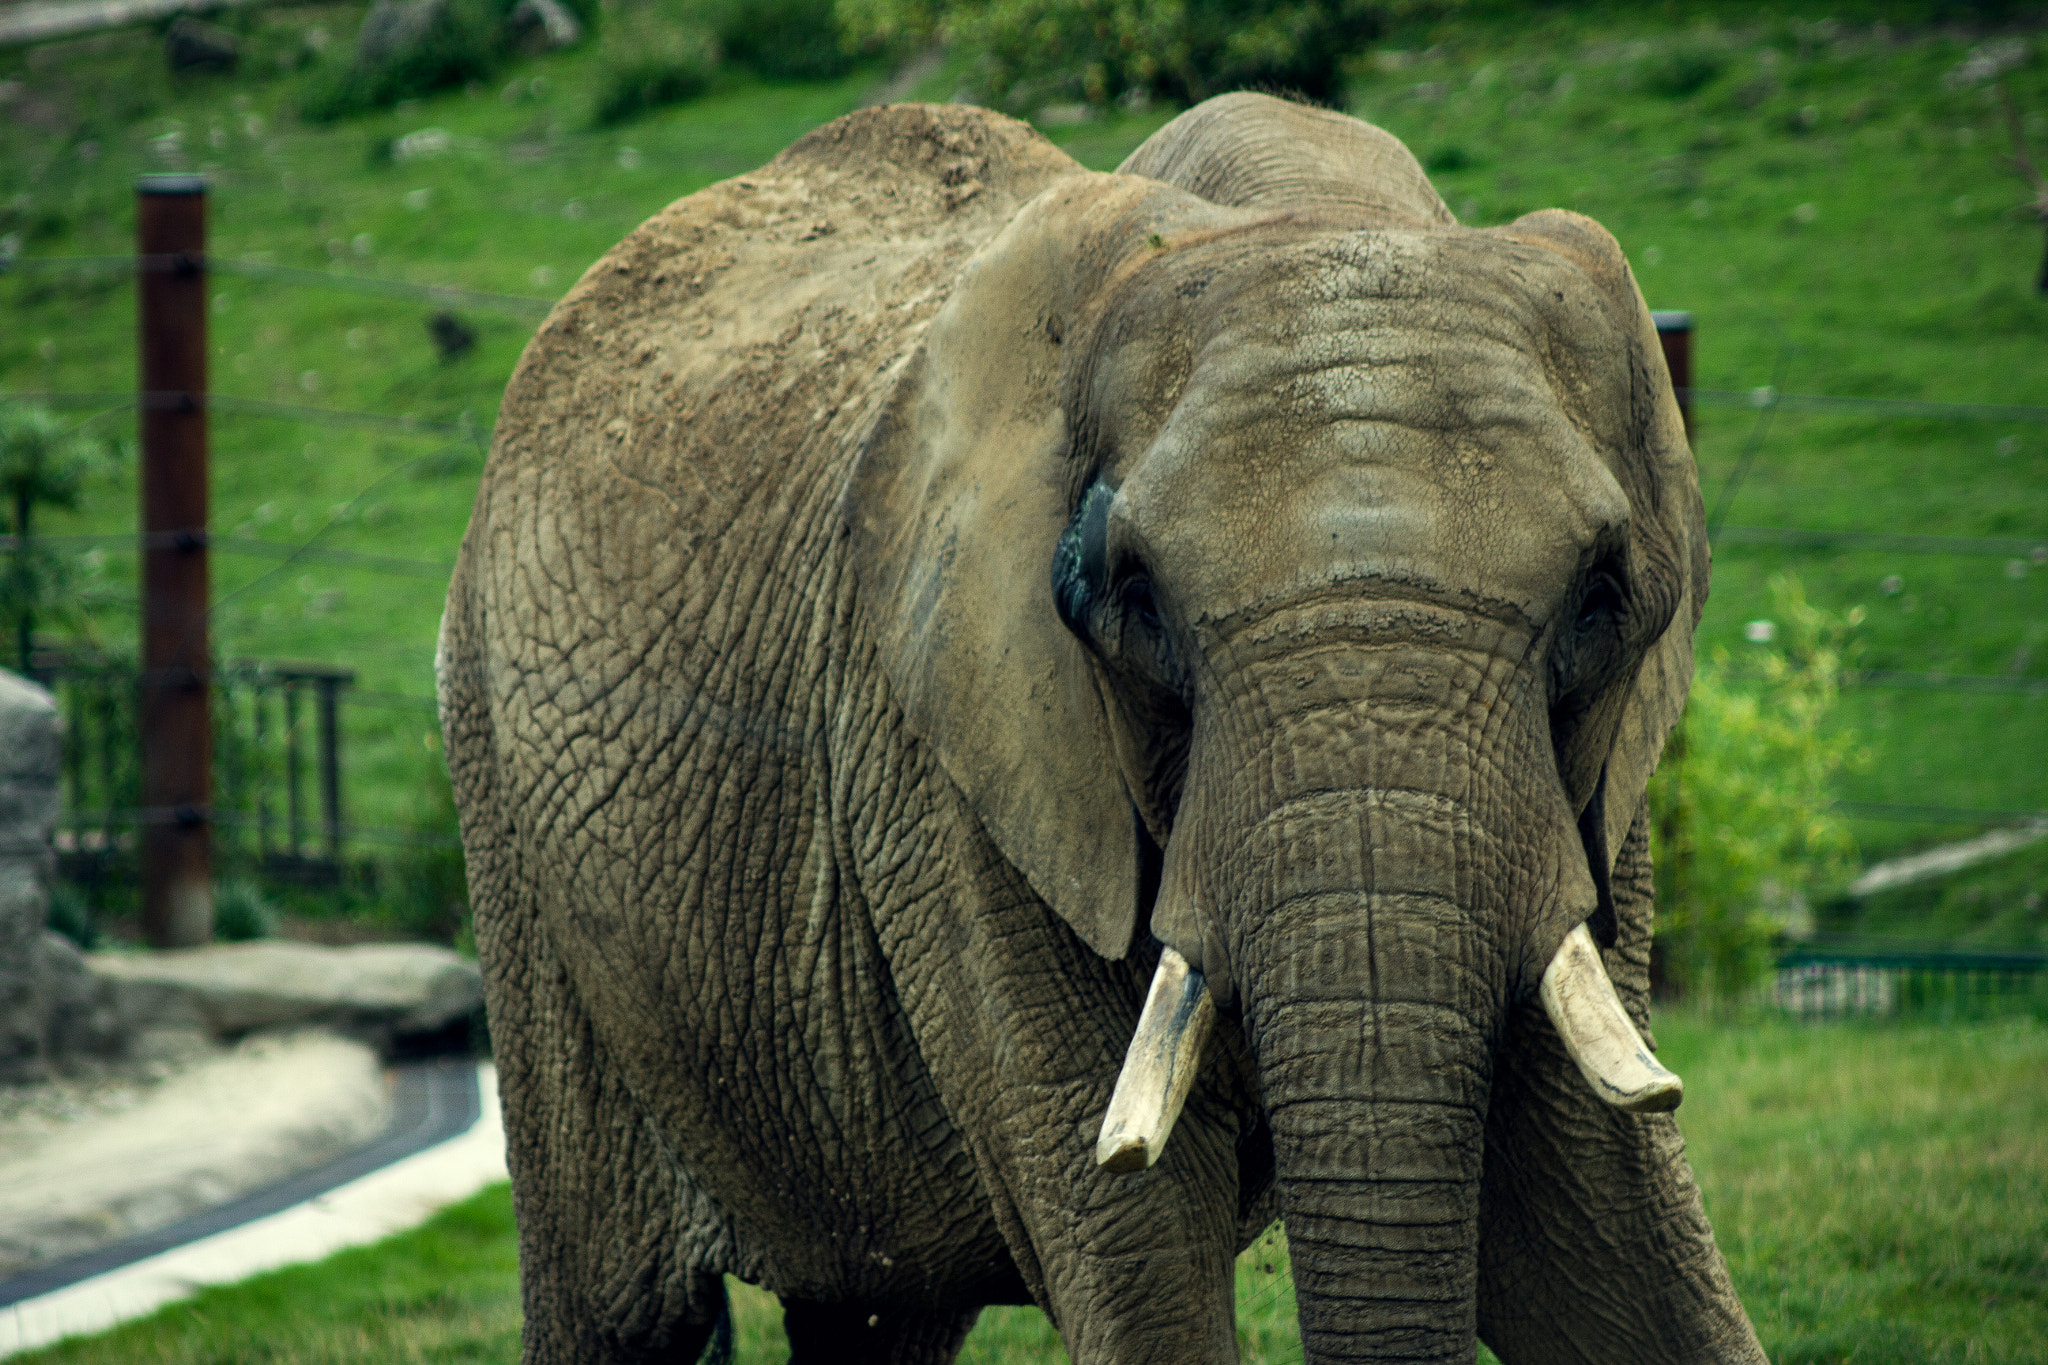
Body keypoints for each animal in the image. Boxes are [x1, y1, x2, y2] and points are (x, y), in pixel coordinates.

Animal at [438, 93, 1767, 1364]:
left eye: (1598, 594)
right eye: (1132, 595)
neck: (1305, 208)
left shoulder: (1596, 794)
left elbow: (1599, 1246)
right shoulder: (961, 770)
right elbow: (1139, 1260)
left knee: (875, 1321)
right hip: (506, 819)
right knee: (621, 1314)